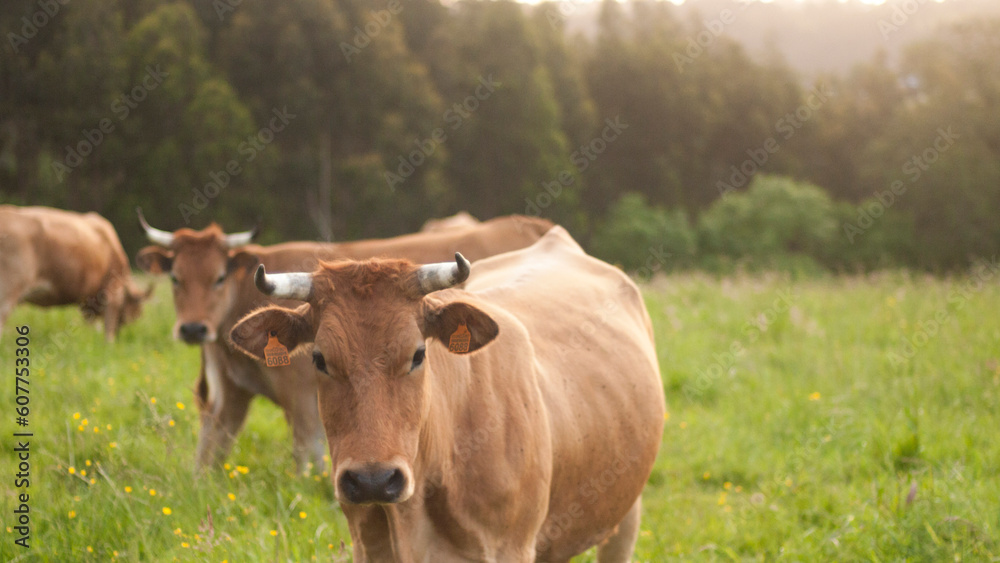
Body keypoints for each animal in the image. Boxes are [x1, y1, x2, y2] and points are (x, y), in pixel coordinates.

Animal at [227, 228, 664, 563]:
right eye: (319, 359)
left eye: (419, 354)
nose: (372, 481)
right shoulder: (368, 546)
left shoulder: (511, 548)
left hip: (626, 512)